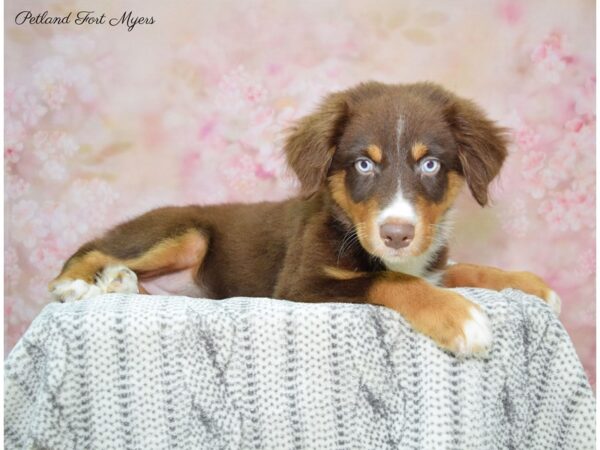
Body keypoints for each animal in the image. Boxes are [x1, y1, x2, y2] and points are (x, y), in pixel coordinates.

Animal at [49, 82, 560, 358]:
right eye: (364, 164)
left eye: (430, 164)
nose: (397, 234)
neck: (348, 226)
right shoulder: (300, 284)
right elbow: (390, 280)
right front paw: (459, 317)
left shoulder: (429, 262)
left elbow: (460, 268)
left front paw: (531, 284)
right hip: (184, 231)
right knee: (93, 247)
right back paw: (74, 285)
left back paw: (116, 284)